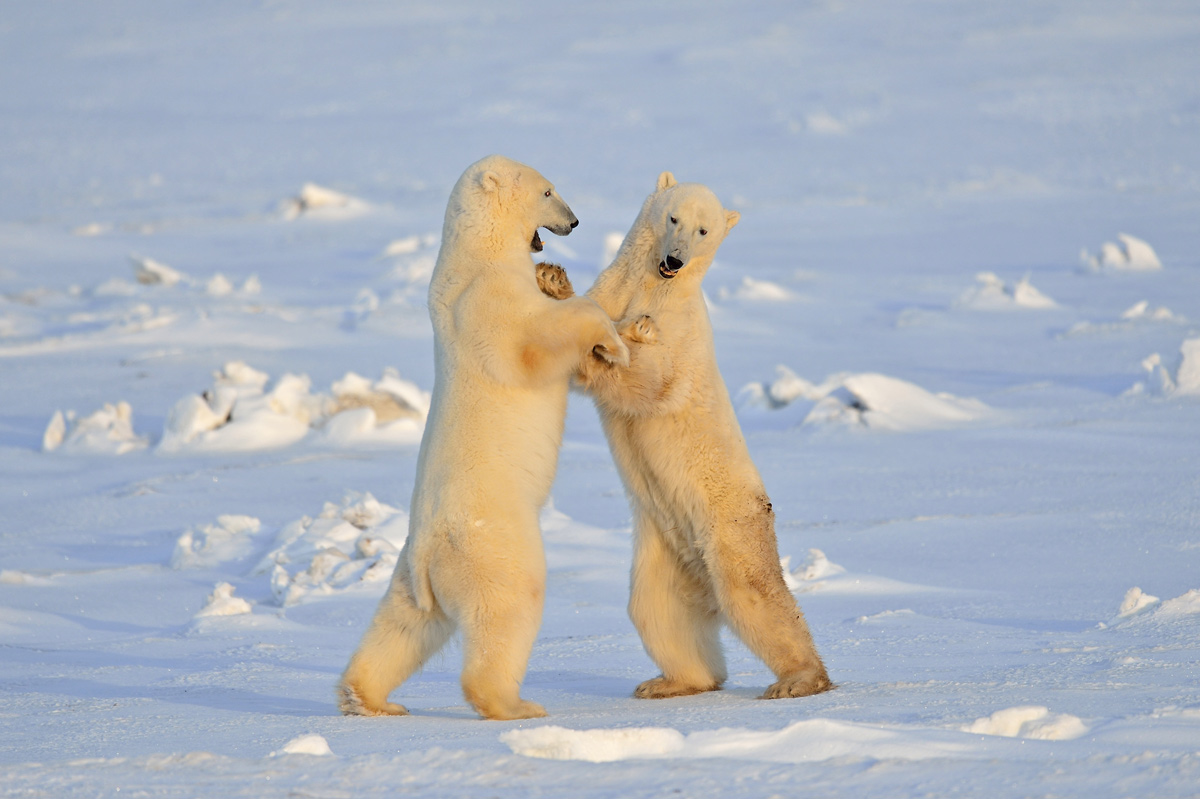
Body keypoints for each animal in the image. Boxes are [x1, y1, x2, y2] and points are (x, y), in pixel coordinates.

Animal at [340, 152, 628, 719]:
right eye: (548, 191)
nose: (574, 221)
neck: (476, 254)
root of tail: (430, 550)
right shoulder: (490, 303)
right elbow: (536, 346)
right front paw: (612, 339)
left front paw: (556, 279)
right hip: (493, 548)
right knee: (510, 607)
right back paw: (515, 704)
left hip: (412, 574)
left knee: (403, 627)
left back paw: (367, 699)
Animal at [540, 172, 830, 695]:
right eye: (673, 218)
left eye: (704, 230)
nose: (673, 261)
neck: (655, 287)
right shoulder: (615, 288)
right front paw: (552, 279)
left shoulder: (680, 332)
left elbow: (651, 377)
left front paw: (627, 334)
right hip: (664, 549)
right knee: (657, 610)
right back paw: (671, 682)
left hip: (730, 524)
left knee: (756, 595)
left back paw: (799, 679)